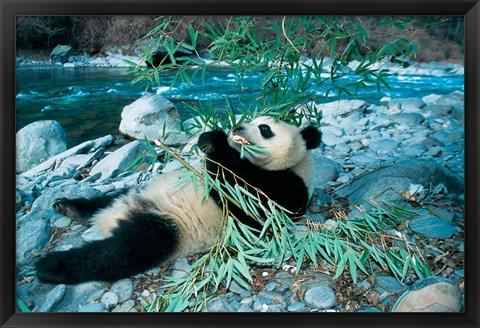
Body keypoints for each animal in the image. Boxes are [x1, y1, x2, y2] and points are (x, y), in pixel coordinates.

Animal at [35, 116, 322, 284]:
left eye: (264, 128)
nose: (237, 127)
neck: (296, 164)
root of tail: (113, 220)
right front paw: (208, 138)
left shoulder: (286, 191)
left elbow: (243, 194)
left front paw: (215, 142)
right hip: (135, 193)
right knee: (105, 200)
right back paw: (71, 207)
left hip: (168, 227)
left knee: (121, 252)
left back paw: (52, 266)